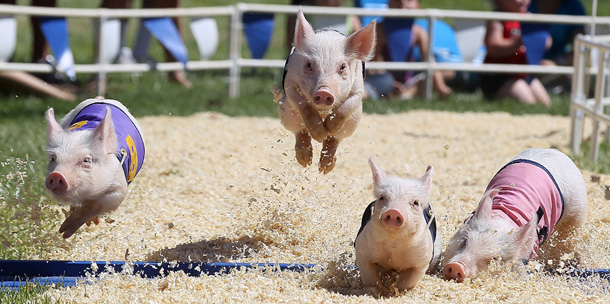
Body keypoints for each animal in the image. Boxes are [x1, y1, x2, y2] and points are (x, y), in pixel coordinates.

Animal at [44, 97, 145, 238]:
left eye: (87, 160)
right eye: (53, 158)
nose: (56, 174)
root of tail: (101, 99)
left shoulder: (119, 187)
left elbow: (99, 204)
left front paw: (66, 232)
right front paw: (63, 232)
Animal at [276, 8, 376, 173]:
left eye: (342, 67)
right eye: (309, 65)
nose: (324, 92)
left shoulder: (358, 89)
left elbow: (346, 106)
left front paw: (328, 129)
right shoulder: (290, 82)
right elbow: (303, 104)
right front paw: (320, 134)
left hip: (353, 121)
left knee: (335, 139)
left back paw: (324, 168)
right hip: (286, 112)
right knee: (300, 131)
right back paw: (306, 162)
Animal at [352, 157, 442, 292]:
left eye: (415, 202)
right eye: (382, 197)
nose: (394, 211)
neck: (394, 246)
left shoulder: (422, 259)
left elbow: (407, 282)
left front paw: (398, 292)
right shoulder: (363, 250)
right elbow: (370, 278)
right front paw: (374, 291)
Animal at [440, 147, 588, 282]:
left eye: (495, 258)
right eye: (464, 241)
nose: (457, 266)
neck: (505, 218)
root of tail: (557, 152)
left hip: (578, 210)